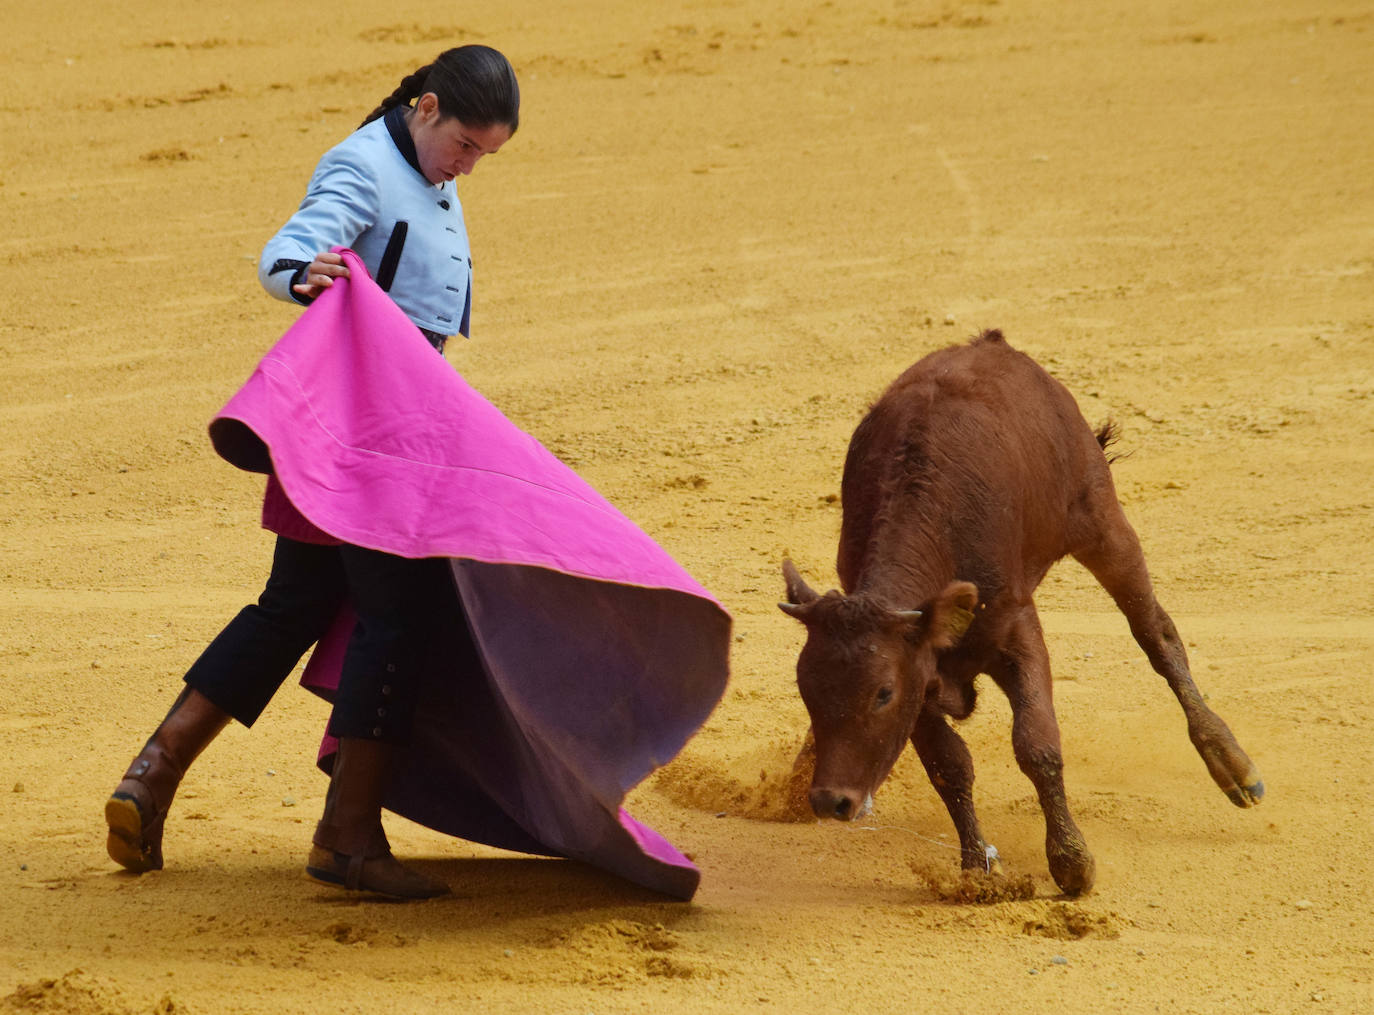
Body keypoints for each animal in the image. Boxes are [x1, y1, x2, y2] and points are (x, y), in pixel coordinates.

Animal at [780, 331, 1258, 895]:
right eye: (806, 689)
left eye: (881, 694)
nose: (831, 801)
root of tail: (994, 345)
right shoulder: (922, 664)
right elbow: (948, 764)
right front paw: (976, 868)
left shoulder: (1015, 630)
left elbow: (1036, 744)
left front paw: (1071, 862)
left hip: (1102, 520)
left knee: (1155, 633)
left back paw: (1232, 764)